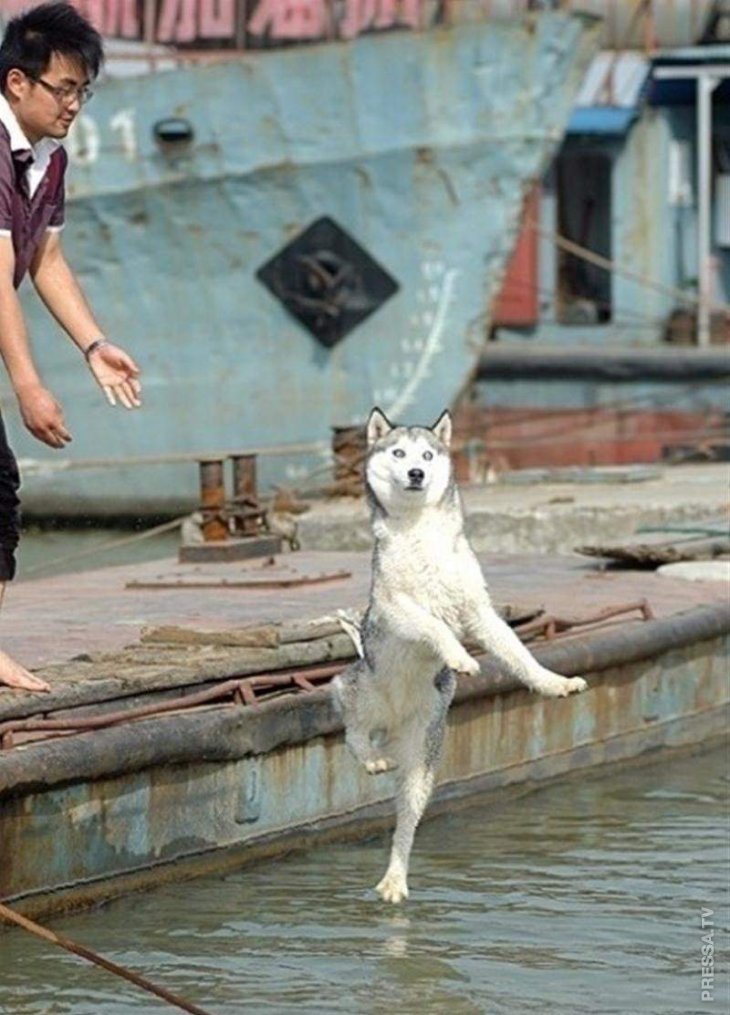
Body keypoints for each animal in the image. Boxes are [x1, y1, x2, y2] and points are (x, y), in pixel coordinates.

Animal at [333, 408, 588, 901]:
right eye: (399, 453)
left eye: (428, 455)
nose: (417, 473)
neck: (421, 533)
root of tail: (393, 724)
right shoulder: (396, 608)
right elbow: (433, 625)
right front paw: (460, 658)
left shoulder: (480, 612)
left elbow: (519, 655)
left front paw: (554, 683)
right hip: (357, 691)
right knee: (353, 737)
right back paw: (372, 759)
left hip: (421, 766)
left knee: (405, 826)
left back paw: (395, 880)